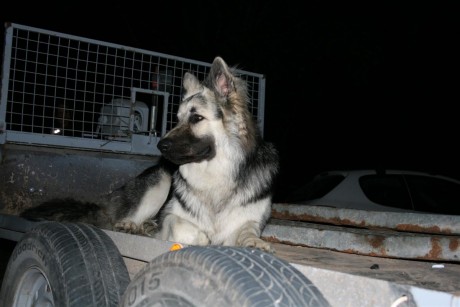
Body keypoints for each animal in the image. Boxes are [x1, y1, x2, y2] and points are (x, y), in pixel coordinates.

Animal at [19, 56, 278, 254]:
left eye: (196, 118)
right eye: (177, 119)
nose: (160, 146)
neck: (215, 174)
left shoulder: (249, 220)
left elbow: (248, 232)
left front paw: (255, 242)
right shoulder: (172, 216)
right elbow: (186, 228)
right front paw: (202, 237)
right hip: (160, 180)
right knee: (123, 217)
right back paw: (132, 225)